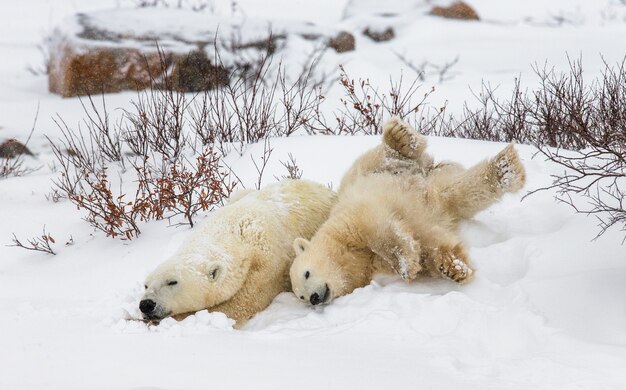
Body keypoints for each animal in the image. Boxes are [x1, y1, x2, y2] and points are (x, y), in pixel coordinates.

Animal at [140, 179, 336, 326]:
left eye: (172, 282)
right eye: (146, 285)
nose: (146, 304)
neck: (235, 232)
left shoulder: (267, 266)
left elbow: (240, 304)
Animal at [290, 117, 524, 306]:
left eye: (307, 274)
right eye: (301, 296)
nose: (314, 298)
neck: (353, 255)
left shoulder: (354, 217)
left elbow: (383, 231)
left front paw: (406, 265)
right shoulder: (373, 264)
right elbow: (428, 247)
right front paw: (454, 267)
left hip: (378, 171)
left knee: (382, 156)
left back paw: (398, 136)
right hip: (433, 188)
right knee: (458, 192)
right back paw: (507, 168)